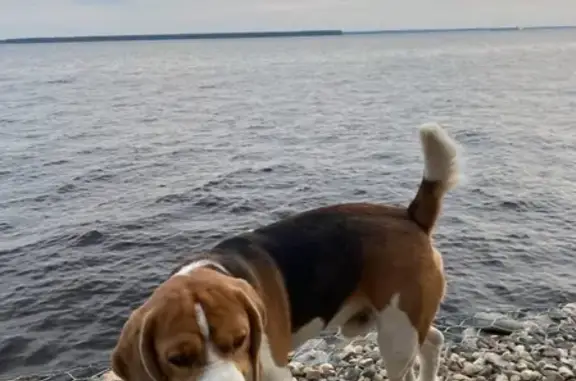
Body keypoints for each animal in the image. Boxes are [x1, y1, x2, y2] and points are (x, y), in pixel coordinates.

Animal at [112, 121, 462, 380]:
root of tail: (409, 215)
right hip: (401, 324)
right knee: (433, 340)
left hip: (396, 334)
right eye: (178, 358)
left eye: (240, 339)